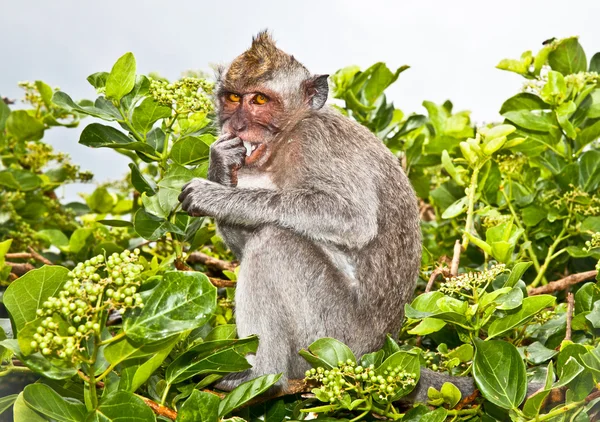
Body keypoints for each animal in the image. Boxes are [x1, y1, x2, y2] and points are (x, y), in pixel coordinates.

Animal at [176, 30, 476, 402]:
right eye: (233, 97)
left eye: (259, 100)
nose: (238, 125)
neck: (286, 139)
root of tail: (378, 354)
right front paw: (220, 163)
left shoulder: (315, 143)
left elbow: (352, 218)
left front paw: (214, 195)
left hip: (332, 338)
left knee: (275, 243)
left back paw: (265, 376)